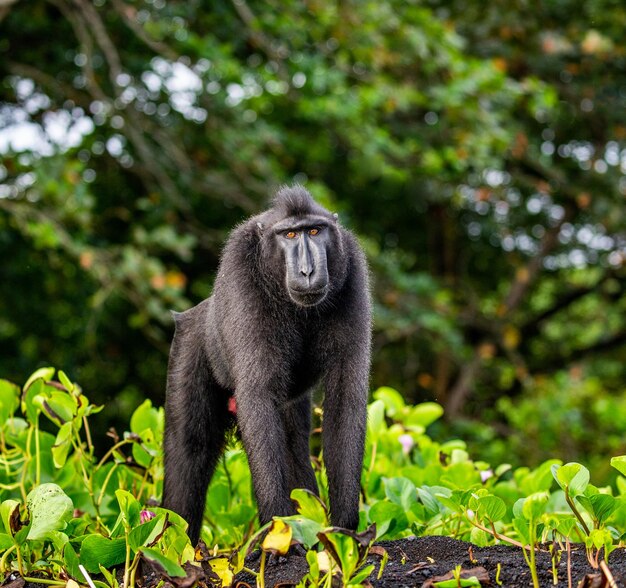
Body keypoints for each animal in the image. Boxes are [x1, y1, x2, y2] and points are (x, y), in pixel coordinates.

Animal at [162, 186, 370, 544]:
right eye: (289, 235)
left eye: (314, 231)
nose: (307, 271)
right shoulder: (240, 271)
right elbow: (258, 395)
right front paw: (278, 527)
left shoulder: (353, 270)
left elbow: (345, 400)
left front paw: (343, 532)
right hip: (189, 347)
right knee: (189, 451)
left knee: (291, 445)